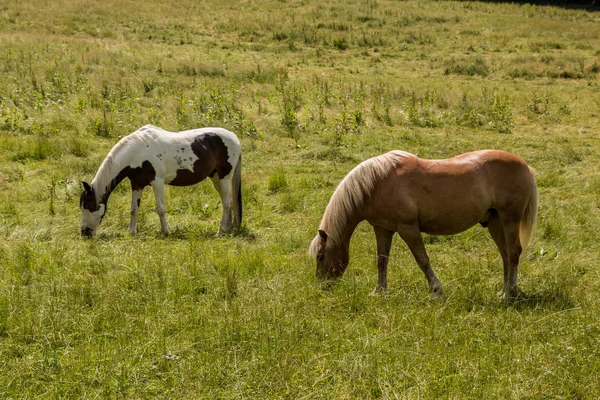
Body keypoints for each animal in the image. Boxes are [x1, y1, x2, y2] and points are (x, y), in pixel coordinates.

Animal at [79, 125, 241, 236]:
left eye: (88, 205)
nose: (85, 232)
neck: (137, 151)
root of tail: (234, 137)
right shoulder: (136, 184)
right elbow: (133, 209)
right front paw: (131, 232)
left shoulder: (157, 182)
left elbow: (160, 209)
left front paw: (165, 231)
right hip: (216, 178)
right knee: (229, 201)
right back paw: (229, 228)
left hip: (225, 177)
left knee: (227, 203)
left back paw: (221, 231)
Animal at [310, 148, 540, 298]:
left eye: (321, 256)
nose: (321, 286)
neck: (376, 184)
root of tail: (525, 167)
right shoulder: (383, 228)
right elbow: (382, 260)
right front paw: (379, 291)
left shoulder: (408, 228)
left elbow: (422, 260)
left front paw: (436, 290)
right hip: (495, 222)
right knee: (505, 255)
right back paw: (504, 290)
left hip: (510, 220)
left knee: (513, 253)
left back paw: (509, 293)